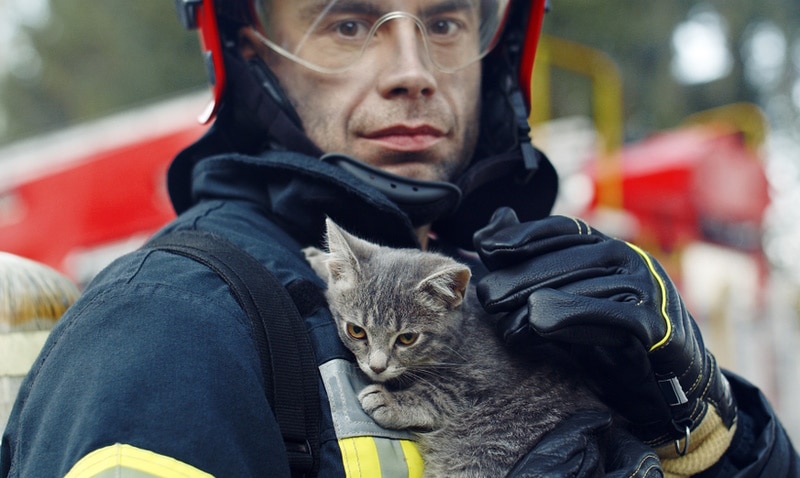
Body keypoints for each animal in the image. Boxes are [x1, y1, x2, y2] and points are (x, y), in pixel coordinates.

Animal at [304, 219, 608, 474]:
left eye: (407, 339)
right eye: (356, 331)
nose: (377, 367)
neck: (460, 335)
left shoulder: (484, 375)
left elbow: (440, 392)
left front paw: (392, 401)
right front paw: (322, 260)